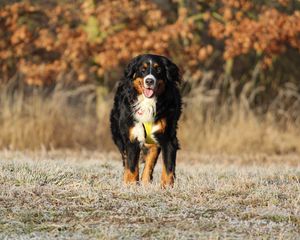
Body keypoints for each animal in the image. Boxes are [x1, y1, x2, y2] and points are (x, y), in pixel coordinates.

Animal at [109, 54, 182, 188]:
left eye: (158, 69)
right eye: (142, 70)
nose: (149, 81)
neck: (148, 102)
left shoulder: (168, 137)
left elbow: (168, 167)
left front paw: (166, 187)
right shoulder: (132, 136)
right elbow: (132, 166)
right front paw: (131, 185)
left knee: (150, 159)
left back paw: (146, 181)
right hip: (119, 135)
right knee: (126, 159)